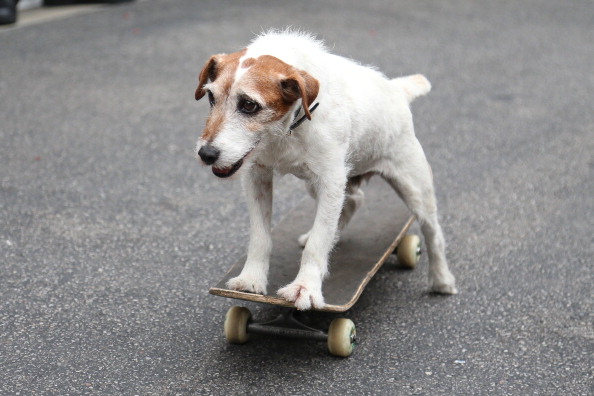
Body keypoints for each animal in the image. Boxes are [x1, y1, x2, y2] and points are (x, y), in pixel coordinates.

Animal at [192, 30, 456, 310]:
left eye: (249, 105)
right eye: (211, 97)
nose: (206, 154)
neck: (287, 128)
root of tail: (397, 90)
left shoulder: (330, 181)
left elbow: (317, 244)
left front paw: (305, 287)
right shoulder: (257, 177)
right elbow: (260, 236)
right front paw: (251, 279)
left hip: (413, 187)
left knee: (433, 232)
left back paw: (441, 280)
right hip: (320, 183)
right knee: (352, 201)